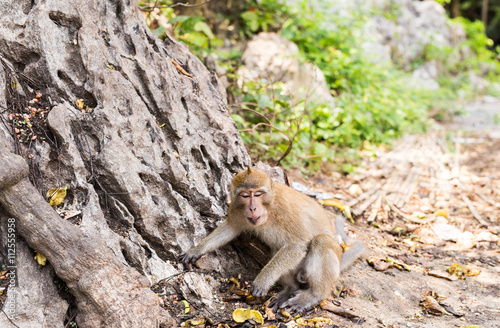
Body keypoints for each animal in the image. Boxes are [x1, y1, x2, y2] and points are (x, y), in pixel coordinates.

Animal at [180, 167, 364, 312]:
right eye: (245, 195)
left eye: (258, 194)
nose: (252, 208)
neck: (269, 208)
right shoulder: (236, 209)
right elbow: (231, 228)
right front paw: (196, 250)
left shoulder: (285, 209)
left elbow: (297, 245)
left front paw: (263, 280)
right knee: (278, 248)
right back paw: (289, 289)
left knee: (321, 242)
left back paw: (313, 295)